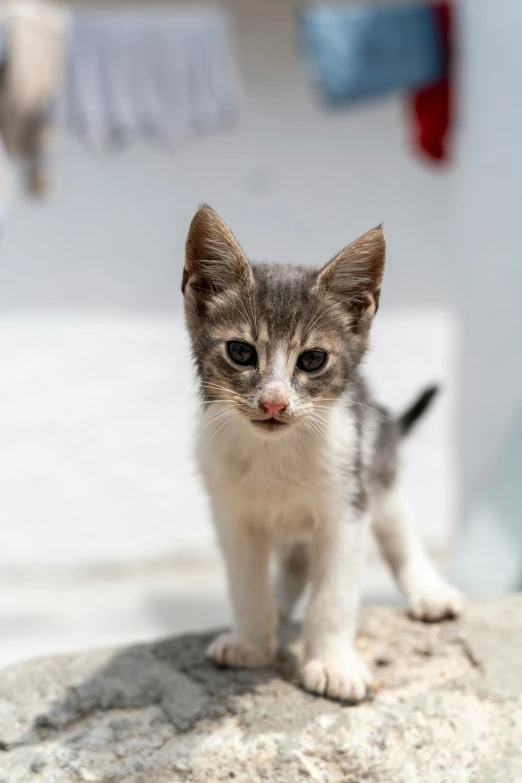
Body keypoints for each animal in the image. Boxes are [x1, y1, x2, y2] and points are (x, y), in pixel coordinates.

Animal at [181, 205, 462, 700]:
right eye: (240, 352)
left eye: (312, 360)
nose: (274, 403)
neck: (274, 453)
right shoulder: (231, 513)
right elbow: (246, 584)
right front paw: (252, 641)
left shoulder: (346, 507)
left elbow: (334, 593)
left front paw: (331, 662)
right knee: (294, 561)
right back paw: (279, 608)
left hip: (378, 469)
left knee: (400, 535)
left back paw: (429, 592)